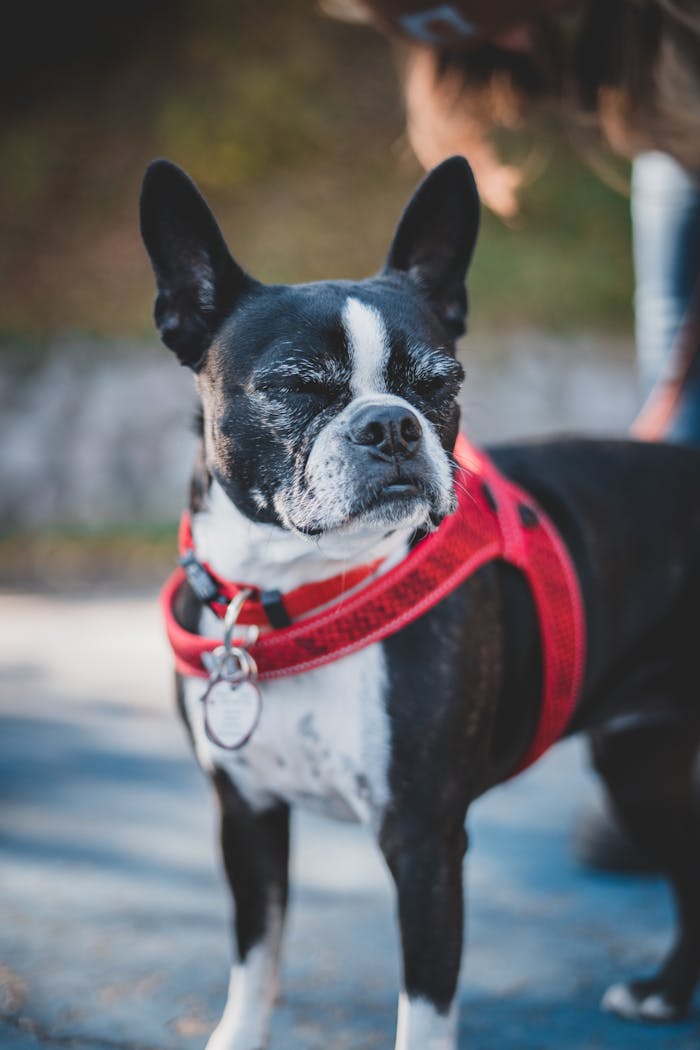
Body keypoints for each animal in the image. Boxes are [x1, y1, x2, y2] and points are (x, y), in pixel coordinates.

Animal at [140, 157, 700, 1050]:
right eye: (294, 388)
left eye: (441, 385)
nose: (392, 426)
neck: (301, 595)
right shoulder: (248, 816)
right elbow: (255, 967)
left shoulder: (425, 841)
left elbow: (424, 1010)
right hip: (639, 760)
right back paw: (667, 990)